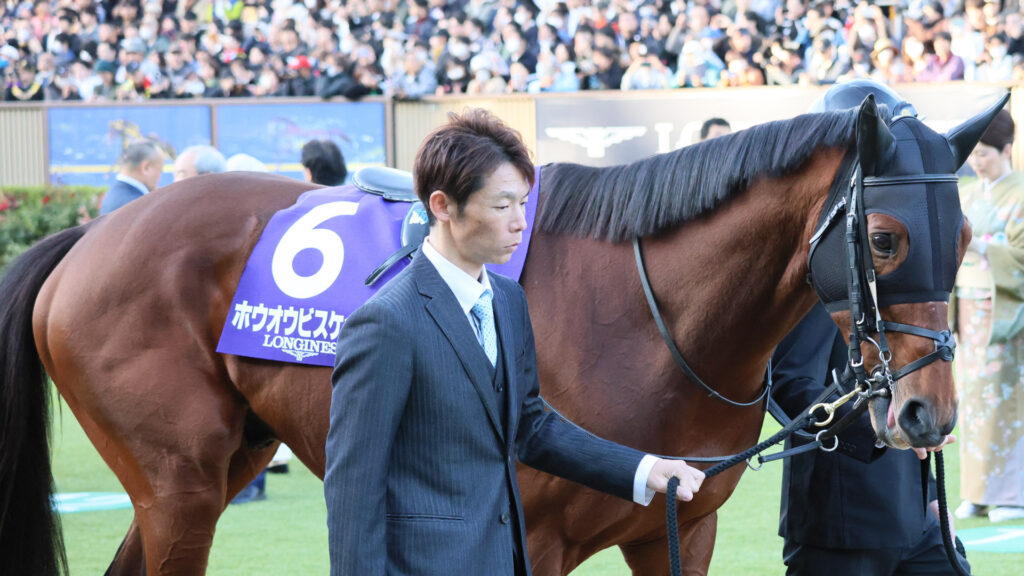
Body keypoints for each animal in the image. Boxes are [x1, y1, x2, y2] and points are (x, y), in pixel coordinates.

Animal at [0, 96, 1002, 576]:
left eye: (963, 237)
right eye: (884, 239)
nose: (927, 414)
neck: (648, 317)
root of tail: (90, 235)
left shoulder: (679, 528)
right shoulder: (533, 541)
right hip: (178, 486)